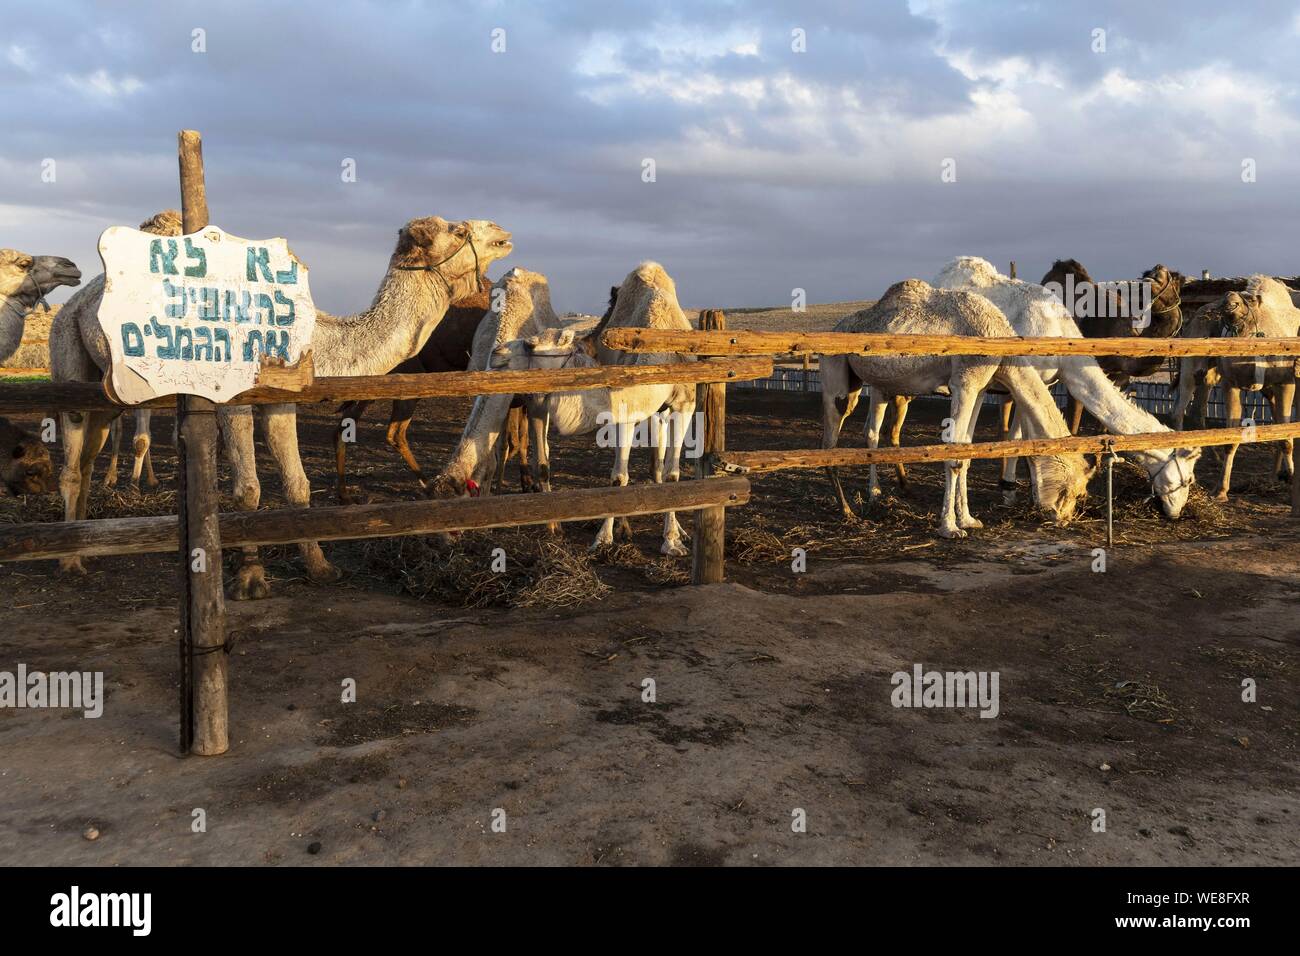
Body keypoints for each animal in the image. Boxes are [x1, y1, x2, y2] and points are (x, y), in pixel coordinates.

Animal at [816, 280, 1092, 541]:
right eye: (1073, 492)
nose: (1063, 519)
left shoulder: (979, 388)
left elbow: (967, 451)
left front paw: (968, 520)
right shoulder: (964, 383)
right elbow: (955, 456)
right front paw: (949, 528)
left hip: (870, 384)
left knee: (868, 431)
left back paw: (872, 497)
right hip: (835, 375)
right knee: (830, 439)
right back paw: (848, 510)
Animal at [935, 257, 1196, 520]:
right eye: (1188, 479)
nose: (1176, 512)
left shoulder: (1046, 381)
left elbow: (1022, 435)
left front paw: (1018, 491)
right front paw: (1024, 493)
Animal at [1190, 277, 1294, 502]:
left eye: (1248, 299)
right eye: (1225, 297)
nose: (1229, 301)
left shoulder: (1286, 382)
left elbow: (1286, 436)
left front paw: (1292, 479)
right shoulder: (1231, 384)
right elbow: (1231, 439)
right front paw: (1220, 491)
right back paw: (1273, 476)